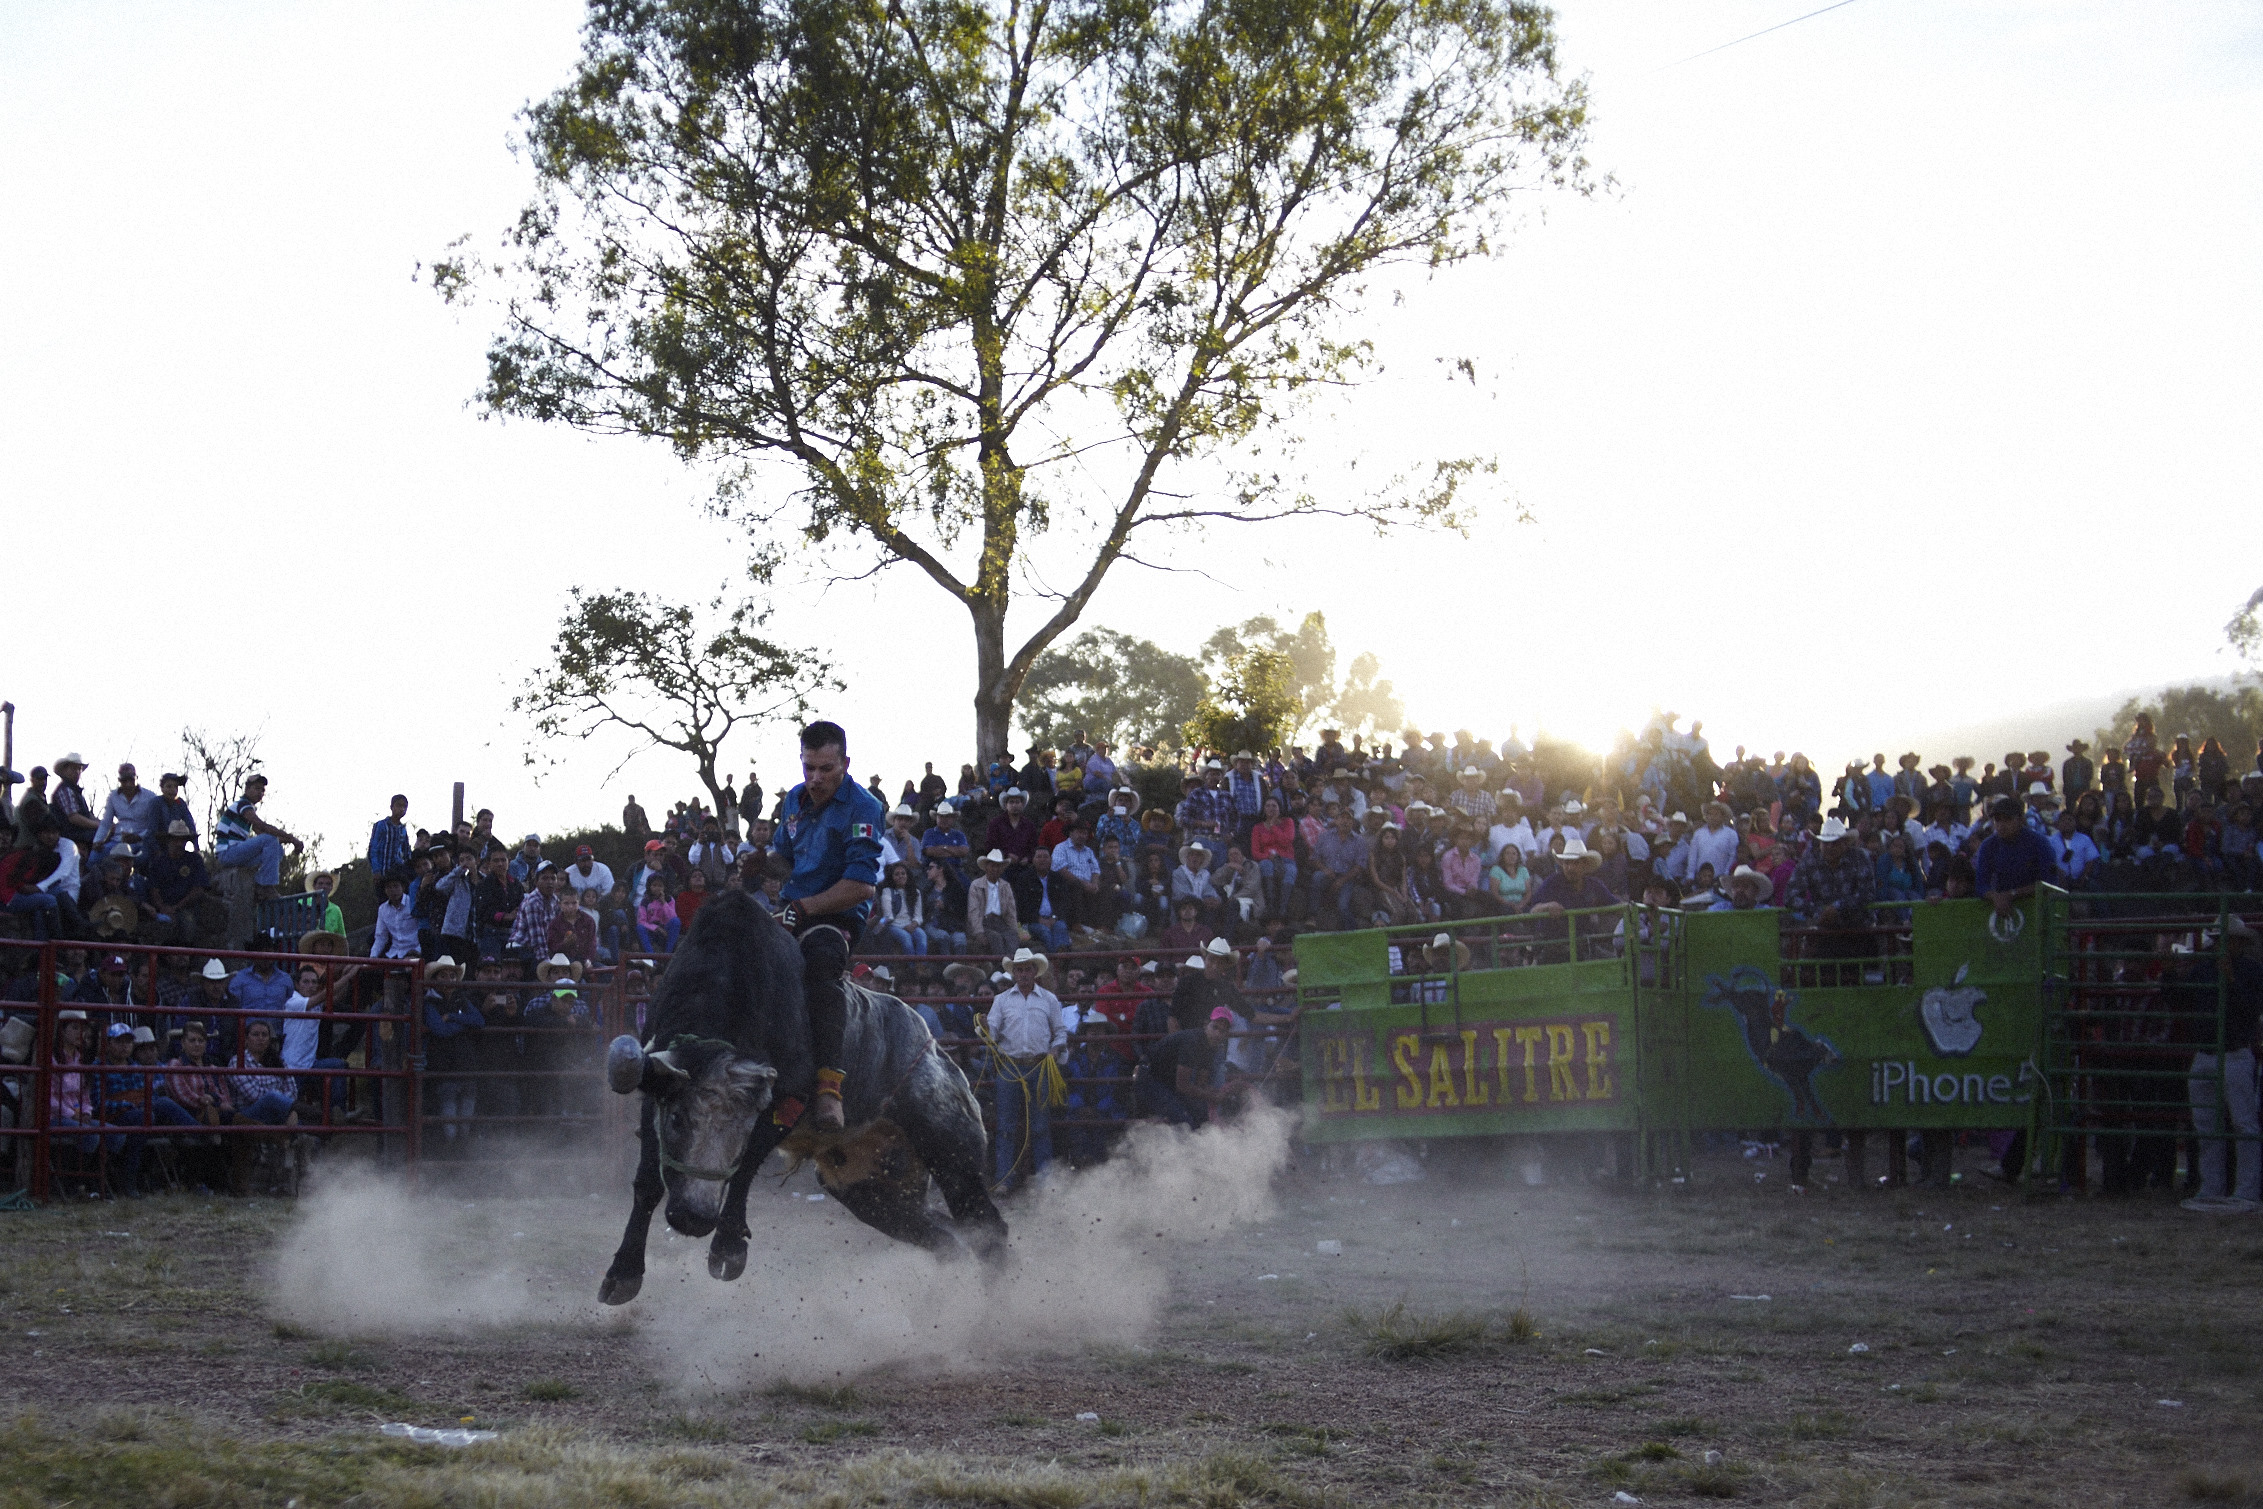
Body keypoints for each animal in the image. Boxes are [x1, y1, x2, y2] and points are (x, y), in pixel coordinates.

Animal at [597, 891, 1004, 1303]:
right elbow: (648, 1182)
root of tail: (937, 1052)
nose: (694, 1218)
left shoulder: (784, 1102)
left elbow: (745, 1166)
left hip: (951, 1151)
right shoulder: (655, 1092)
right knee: (945, 1238)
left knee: (986, 1229)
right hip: (872, 1193)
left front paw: (728, 1248)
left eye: (744, 1128)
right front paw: (623, 1272)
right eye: (677, 1119)